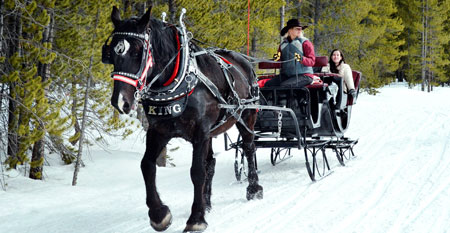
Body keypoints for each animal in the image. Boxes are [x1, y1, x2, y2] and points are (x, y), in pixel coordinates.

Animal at [103, 6, 262, 232]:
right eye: (111, 54)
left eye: (137, 51)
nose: (120, 101)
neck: (176, 81)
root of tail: (245, 61)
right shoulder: (158, 131)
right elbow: (146, 165)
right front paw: (160, 214)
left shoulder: (200, 132)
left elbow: (197, 172)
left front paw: (196, 218)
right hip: (212, 132)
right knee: (211, 162)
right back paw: (207, 203)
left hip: (246, 116)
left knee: (249, 148)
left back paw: (254, 189)